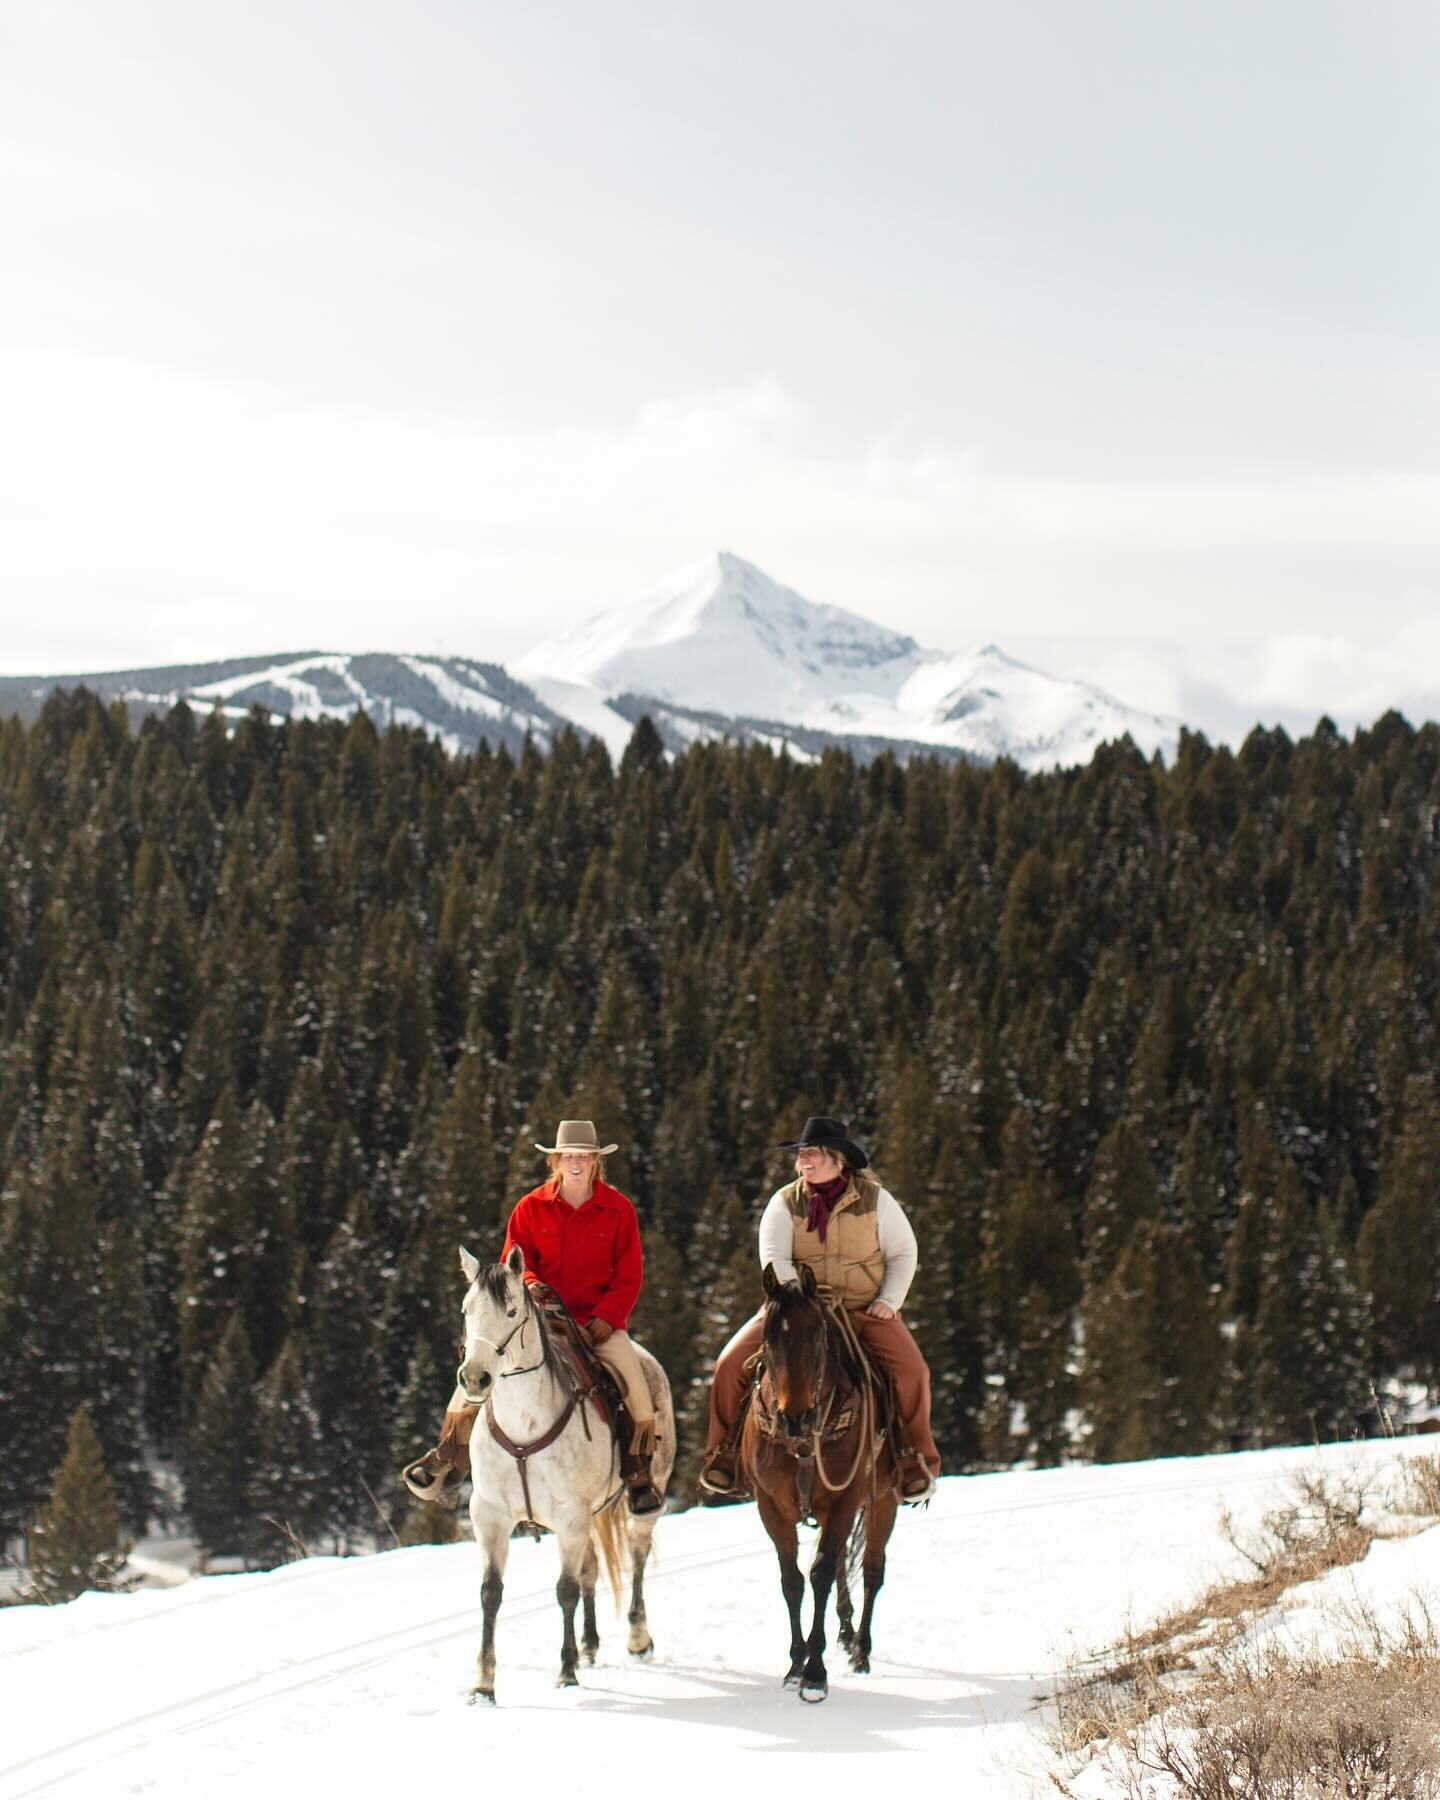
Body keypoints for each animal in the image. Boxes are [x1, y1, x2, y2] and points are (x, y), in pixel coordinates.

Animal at [455, 1245, 676, 1706]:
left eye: (511, 1310)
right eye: (466, 1309)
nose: (474, 1378)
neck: (524, 1424)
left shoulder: (570, 1515)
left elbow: (565, 1590)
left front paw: (566, 1673)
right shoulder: (491, 1517)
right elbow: (490, 1593)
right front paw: (483, 1685)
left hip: (645, 1497)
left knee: (636, 1556)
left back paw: (637, 1638)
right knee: (591, 1567)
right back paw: (590, 1644)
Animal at [741, 1260, 900, 1692]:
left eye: (817, 1336)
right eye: (768, 1340)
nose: (794, 1417)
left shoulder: (847, 1497)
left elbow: (821, 1573)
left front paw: (814, 1671)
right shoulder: (769, 1505)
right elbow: (792, 1580)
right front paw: (796, 1664)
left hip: (883, 1500)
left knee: (872, 1570)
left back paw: (861, 1649)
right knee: (846, 1561)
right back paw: (845, 1634)